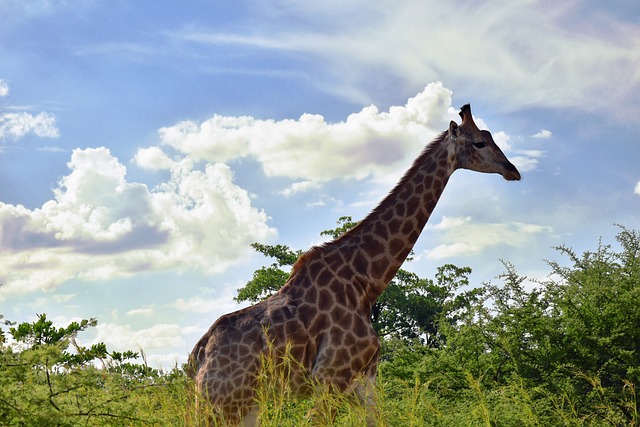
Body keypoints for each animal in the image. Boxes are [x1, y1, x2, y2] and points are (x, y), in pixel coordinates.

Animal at [190, 103, 520, 424]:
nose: (512, 170)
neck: (366, 282)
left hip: (247, 405)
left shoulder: (363, 380)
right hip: (222, 405)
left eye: (490, 137)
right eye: (478, 142)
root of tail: (200, 354)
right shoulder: (330, 377)